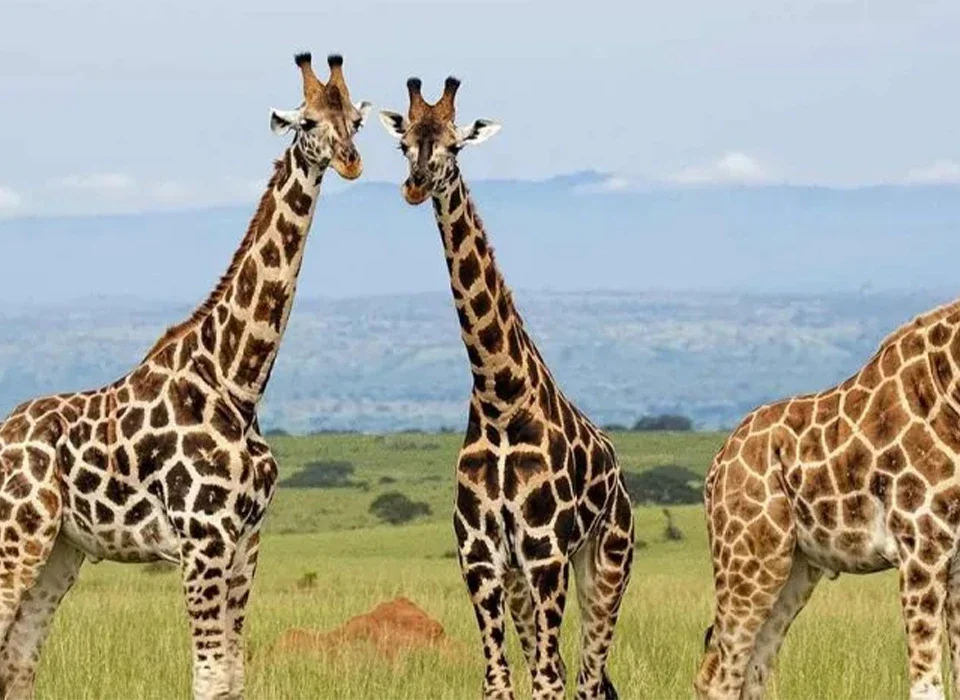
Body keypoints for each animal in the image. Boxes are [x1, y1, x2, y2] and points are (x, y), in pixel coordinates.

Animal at [0, 52, 369, 700]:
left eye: (355, 119)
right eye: (306, 123)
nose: (350, 160)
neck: (238, 382)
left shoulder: (246, 543)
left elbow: (234, 675)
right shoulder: (203, 540)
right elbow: (208, 677)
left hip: (60, 548)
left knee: (19, 655)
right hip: (17, 534)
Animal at [379, 77, 635, 700]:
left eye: (454, 145)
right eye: (404, 145)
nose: (415, 185)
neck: (500, 398)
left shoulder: (545, 552)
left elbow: (546, 680)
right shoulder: (481, 558)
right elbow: (499, 680)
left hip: (606, 562)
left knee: (587, 677)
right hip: (526, 580)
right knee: (575, 672)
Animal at [695, 297, 960, 700]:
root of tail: (717, 465)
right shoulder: (922, 548)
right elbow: (927, 684)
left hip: (796, 568)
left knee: (754, 668)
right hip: (750, 559)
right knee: (720, 674)